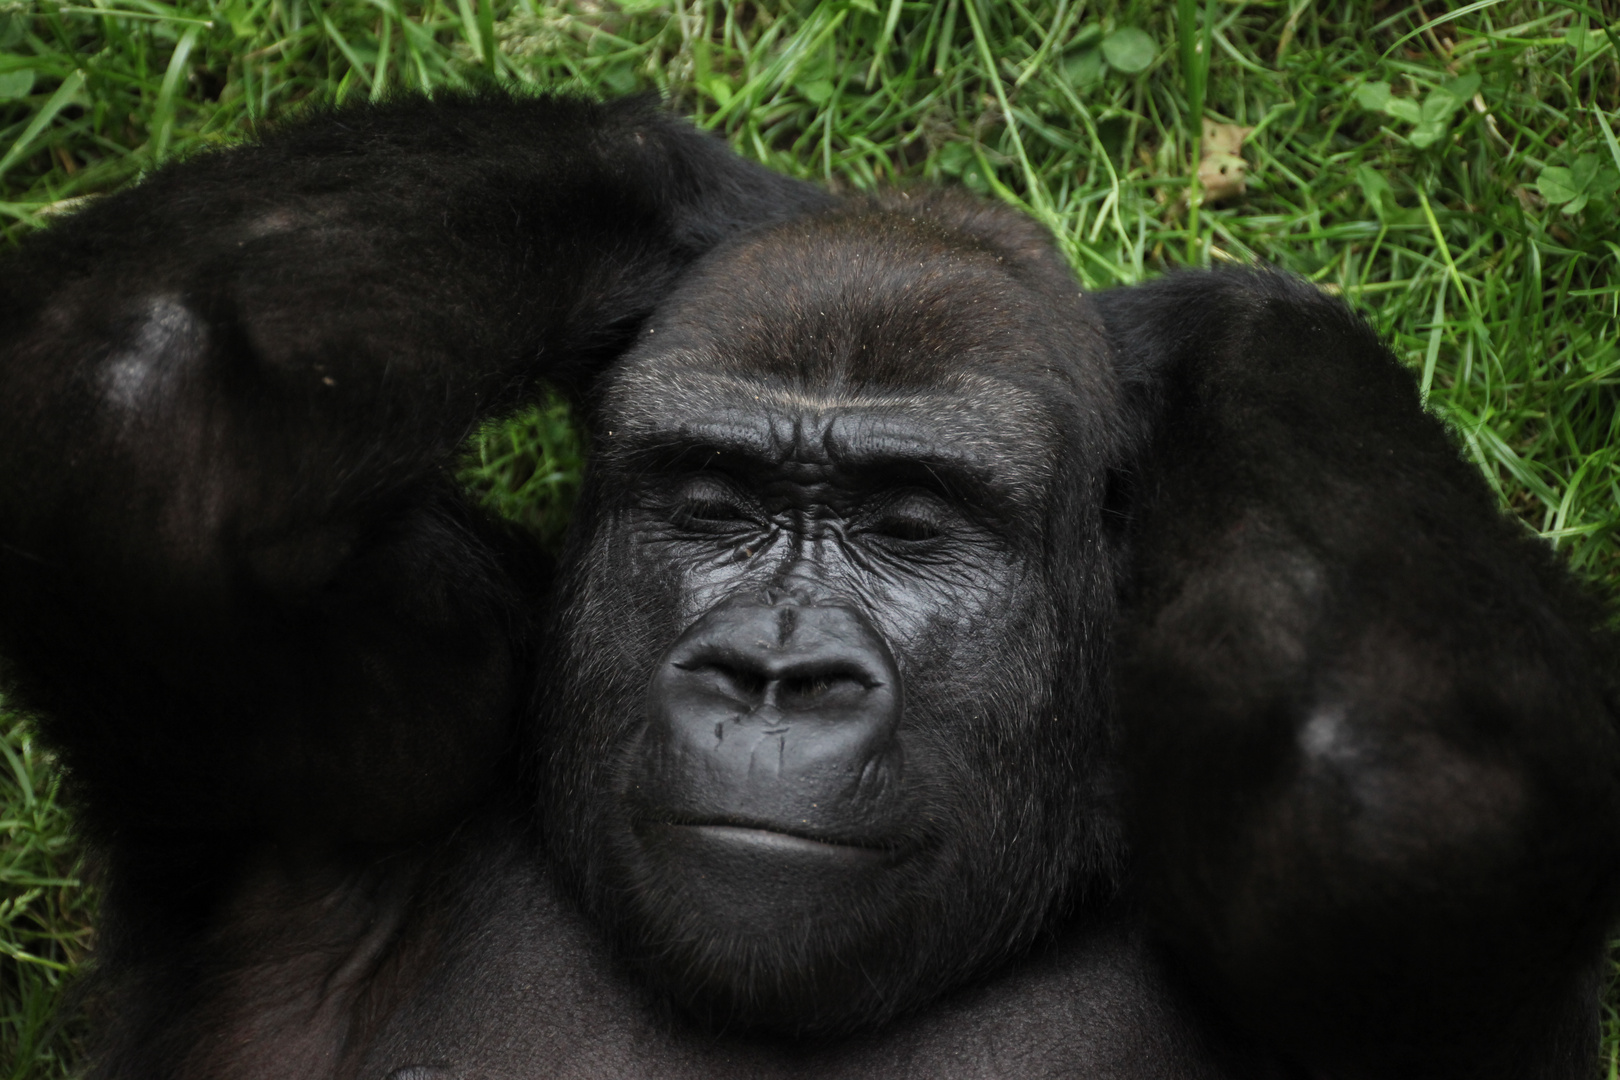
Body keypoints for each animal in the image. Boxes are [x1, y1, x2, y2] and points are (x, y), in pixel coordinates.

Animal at [3, 93, 1620, 1080]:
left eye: (910, 528)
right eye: (715, 508)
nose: (775, 676)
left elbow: (1399, 794)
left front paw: (1174, 330)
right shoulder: (358, 756)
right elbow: (147, 396)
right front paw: (707, 200)